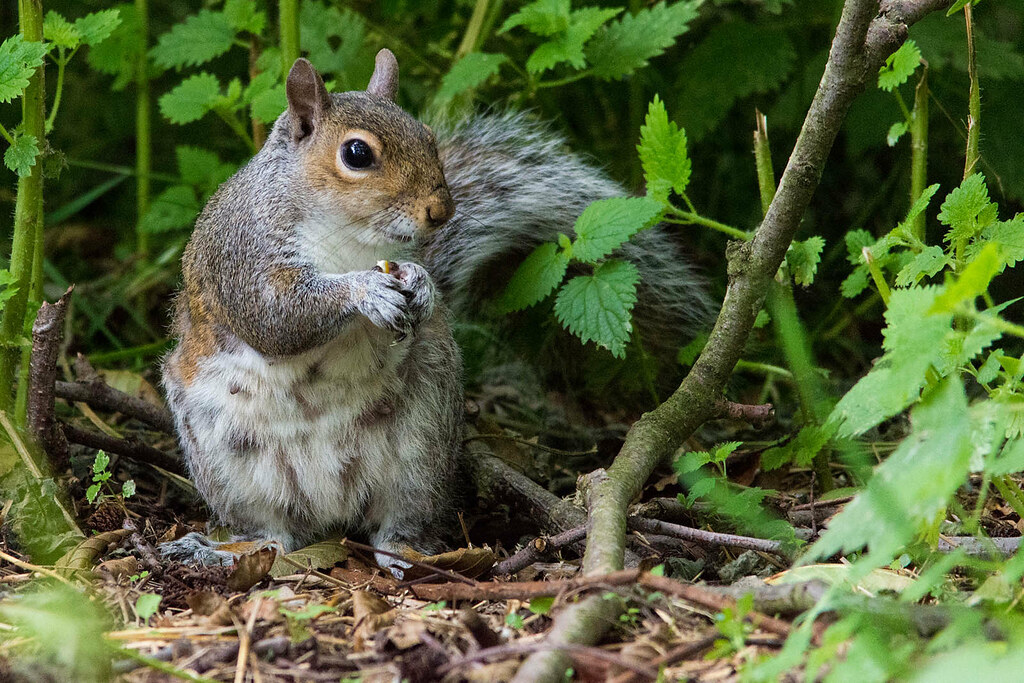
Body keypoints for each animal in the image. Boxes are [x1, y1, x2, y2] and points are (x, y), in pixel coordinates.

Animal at [160, 49, 711, 574]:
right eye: (356, 153)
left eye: (426, 135)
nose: (442, 212)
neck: (346, 234)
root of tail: (331, 510)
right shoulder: (241, 255)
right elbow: (274, 318)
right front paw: (365, 290)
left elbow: (422, 279)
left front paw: (422, 287)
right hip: (228, 462)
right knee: (275, 536)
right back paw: (223, 550)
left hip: (421, 448)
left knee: (395, 528)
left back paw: (414, 557)